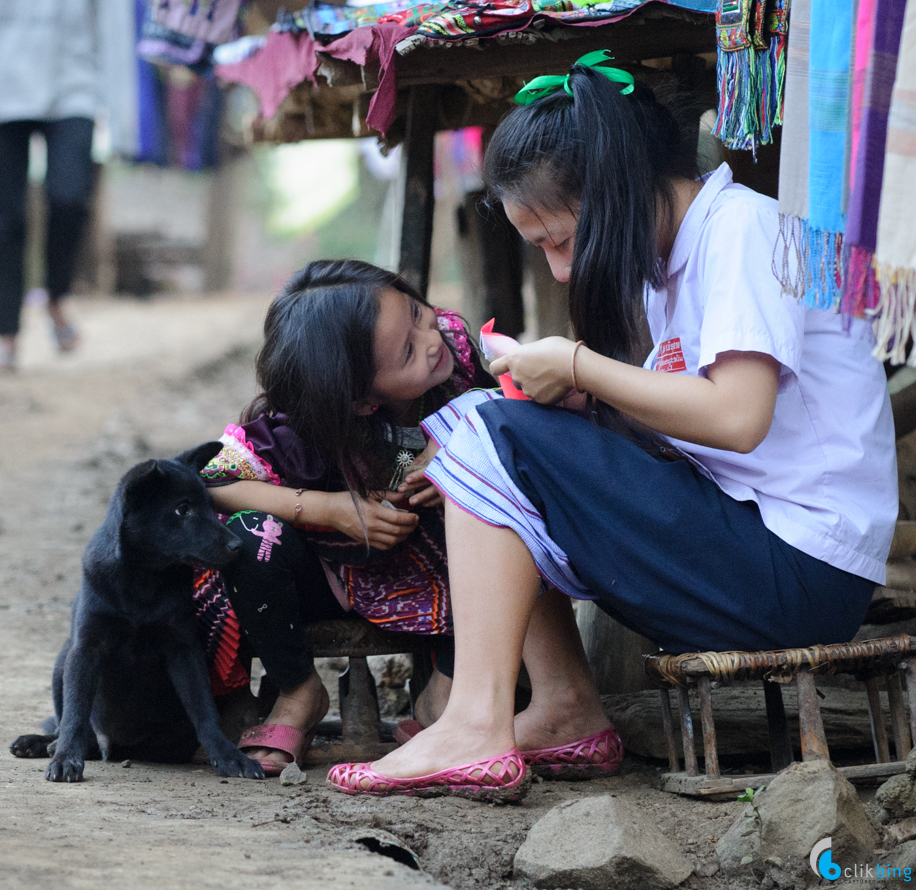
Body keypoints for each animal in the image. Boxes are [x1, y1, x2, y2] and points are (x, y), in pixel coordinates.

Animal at [9, 440, 264, 780]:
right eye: (182, 509)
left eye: (210, 506)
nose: (238, 546)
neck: (143, 580)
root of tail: (113, 746)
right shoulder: (86, 647)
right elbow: (75, 714)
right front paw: (64, 759)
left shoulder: (183, 649)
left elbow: (203, 710)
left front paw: (230, 756)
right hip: (62, 659)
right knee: (69, 726)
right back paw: (42, 744)